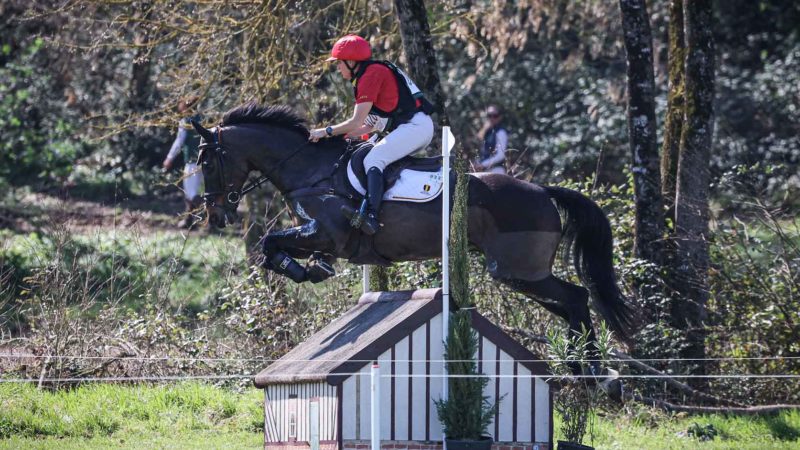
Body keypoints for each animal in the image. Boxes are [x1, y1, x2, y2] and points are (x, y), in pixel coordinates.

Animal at [191, 102, 636, 356]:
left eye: (207, 161)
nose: (215, 214)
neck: (312, 170)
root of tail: (542, 190)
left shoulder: (329, 234)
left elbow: (270, 241)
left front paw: (302, 270)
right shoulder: (317, 236)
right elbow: (273, 247)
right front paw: (308, 268)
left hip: (518, 270)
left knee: (576, 298)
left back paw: (591, 370)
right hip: (521, 274)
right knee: (571, 303)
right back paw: (589, 368)